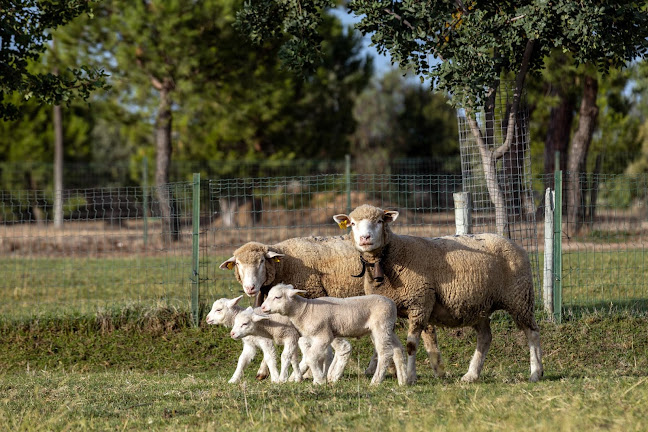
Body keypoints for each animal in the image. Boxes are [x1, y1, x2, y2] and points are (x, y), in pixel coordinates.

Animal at [258, 282, 404, 386]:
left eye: (278, 297)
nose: (263, 308)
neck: (305, 310)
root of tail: (392, 304)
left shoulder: (323, 336)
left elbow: (311, 357)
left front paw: (319, 380)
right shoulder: (313, 337)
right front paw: (319, 377)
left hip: (381, 326)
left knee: (385, 353)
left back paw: (376, 381)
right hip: (389, 329)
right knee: (398, 350)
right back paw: (404, 380)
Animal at [334, 204, 540, 384]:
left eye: (379, 221)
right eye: (352, 223)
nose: (365, 238)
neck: (391, 256)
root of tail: (514, 243)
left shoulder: (419, 304)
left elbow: (411, 345)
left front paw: (410, 377)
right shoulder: (389, 310)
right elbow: (390, 344)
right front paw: (398, 373)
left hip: (519, 297)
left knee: (532, 333)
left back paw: (536, 373)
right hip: (479, 305)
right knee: (485, 337)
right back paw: (471, 375)